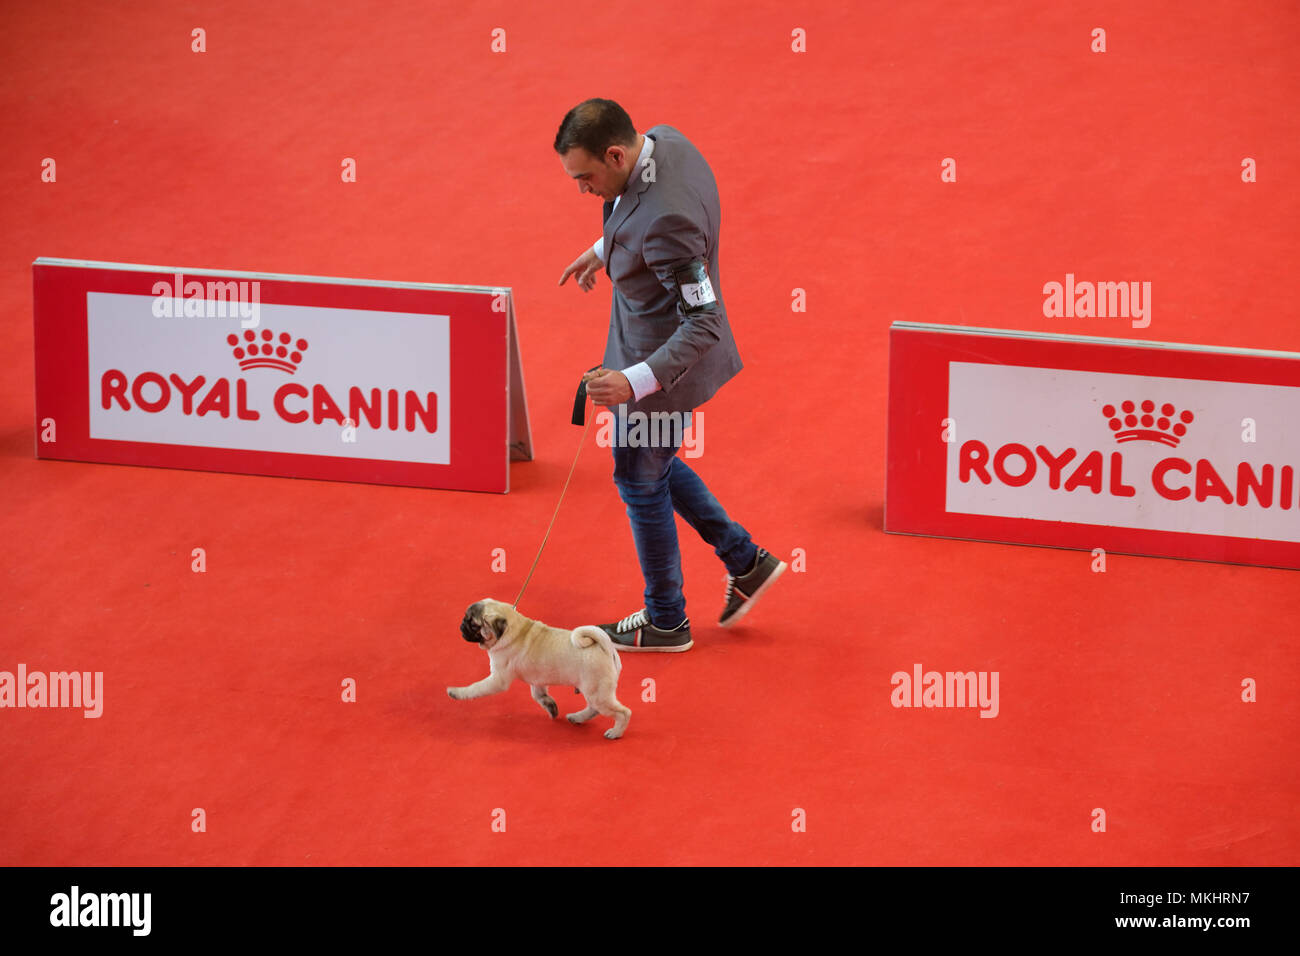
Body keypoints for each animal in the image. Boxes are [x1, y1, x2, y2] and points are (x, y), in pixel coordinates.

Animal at [447, 598, 629, 738]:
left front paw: (457, 692)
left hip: (597, 693)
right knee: (593, 708)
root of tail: (606, 648)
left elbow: (475, 688)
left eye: (473, 624)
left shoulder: (497, 680)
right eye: (466, 620)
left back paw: (615, 732)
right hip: (593, 692)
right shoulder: (537, 681)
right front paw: (550, 706)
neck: (513, 628)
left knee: (622, 712)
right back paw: (577, 717)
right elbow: (539, 696)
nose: (461, 626)